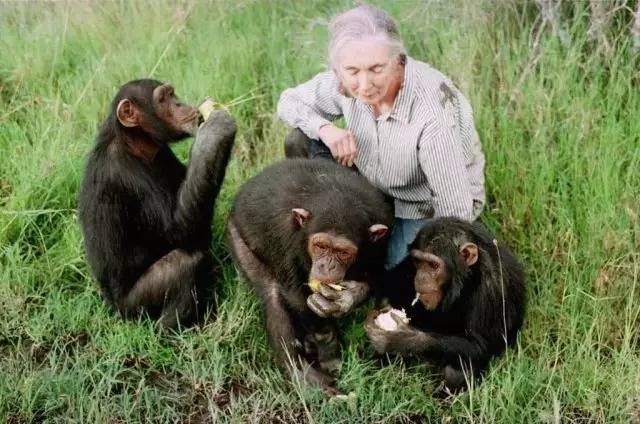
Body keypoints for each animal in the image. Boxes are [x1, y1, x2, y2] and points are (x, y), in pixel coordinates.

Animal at [79, 79, 236, 332]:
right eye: (163, 99)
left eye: (172, 94)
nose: (179, 103)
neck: (134, 142)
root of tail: (113, 310)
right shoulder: (125, 175)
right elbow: (178, 230)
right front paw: (214, 132)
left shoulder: (164, 153)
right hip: (134, 309)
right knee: (184, 264)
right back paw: (172, 330)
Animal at [225, 159, 396, 394]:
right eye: (320, 246)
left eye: (343, 252)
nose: (326, 265)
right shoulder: (284, 234)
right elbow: (295, 296)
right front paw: (328, 349)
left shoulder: (383, 233)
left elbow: (377, 277)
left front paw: (347, 297)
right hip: (236, 234)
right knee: (272, 296)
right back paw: (303, 377)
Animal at [364, 219, 524, 390]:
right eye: (418, 262)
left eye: (433, 265)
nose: (421, 277)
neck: (466, 278)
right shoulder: (408, 264)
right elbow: (389, 282)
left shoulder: (493, 287)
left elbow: (480, 345)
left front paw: (402, 339)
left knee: (457, 371)